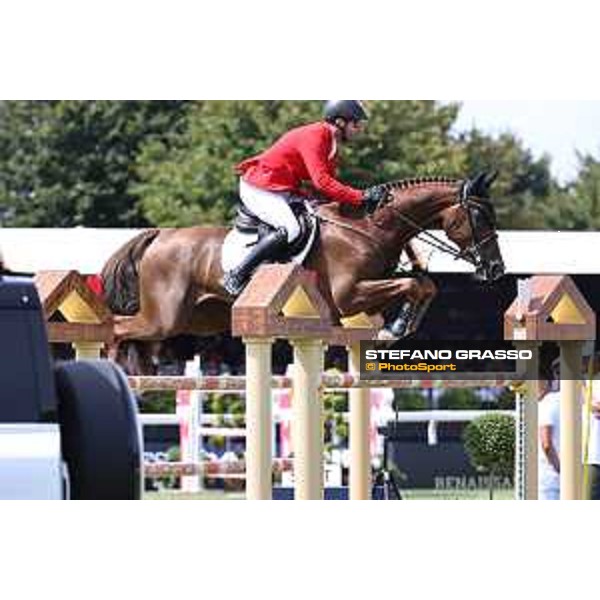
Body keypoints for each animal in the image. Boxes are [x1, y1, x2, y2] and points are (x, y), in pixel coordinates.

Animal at [102, 171, 502, 372]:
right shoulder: (347, 296)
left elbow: (424, 286)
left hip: (198, 317)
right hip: (164, 317)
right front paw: (396, 327)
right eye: (479, 215)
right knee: (118, 328)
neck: (369, 228)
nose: (496, 270)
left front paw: (399, 326)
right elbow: (412, 285)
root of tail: (160, 235)